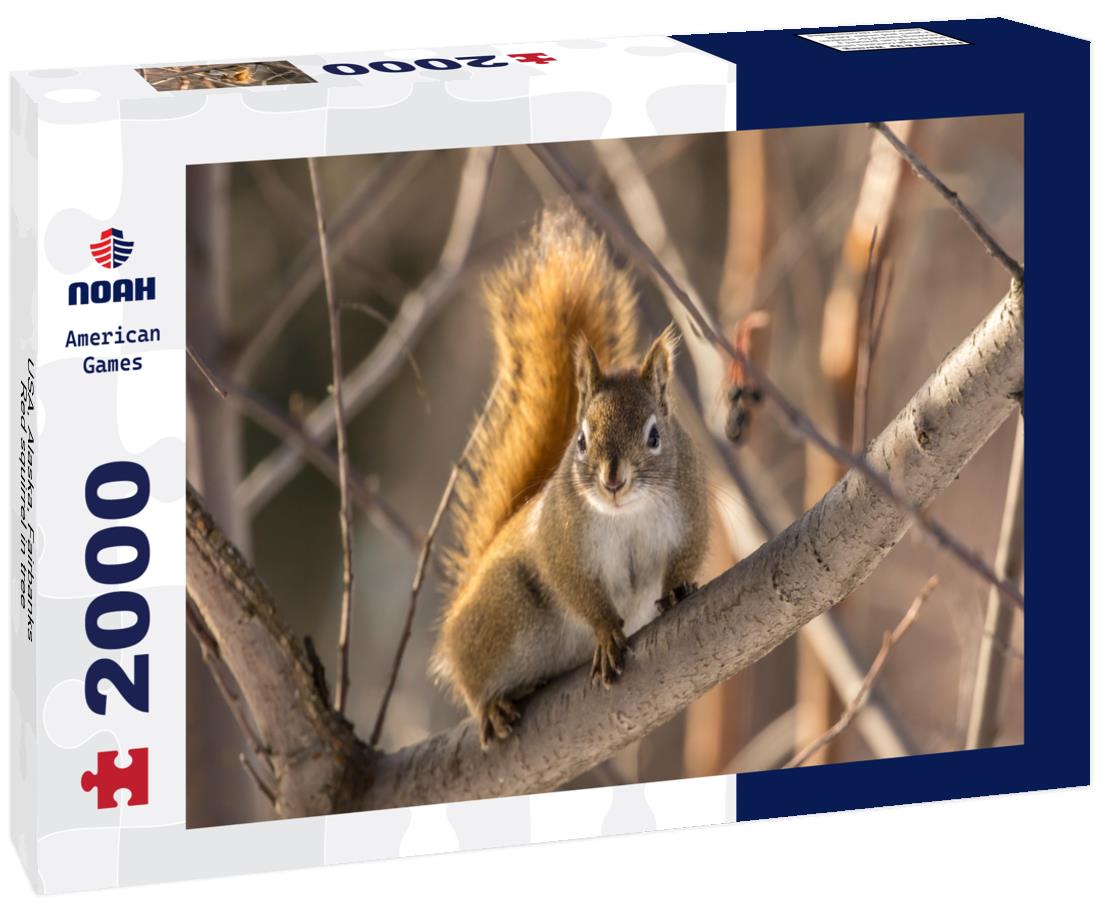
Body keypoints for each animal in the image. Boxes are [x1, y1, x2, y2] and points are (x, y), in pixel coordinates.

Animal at [431, 208, 709, 748]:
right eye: (581, 439)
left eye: (654, 435)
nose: (612, 480)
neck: (627, 515)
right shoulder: (561, 544)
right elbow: (577, 589)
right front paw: (605, 635)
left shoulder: (693, 512)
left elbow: (686, 557)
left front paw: (679, 589)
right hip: (502, 614)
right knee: (473, 679)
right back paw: (493, 704)